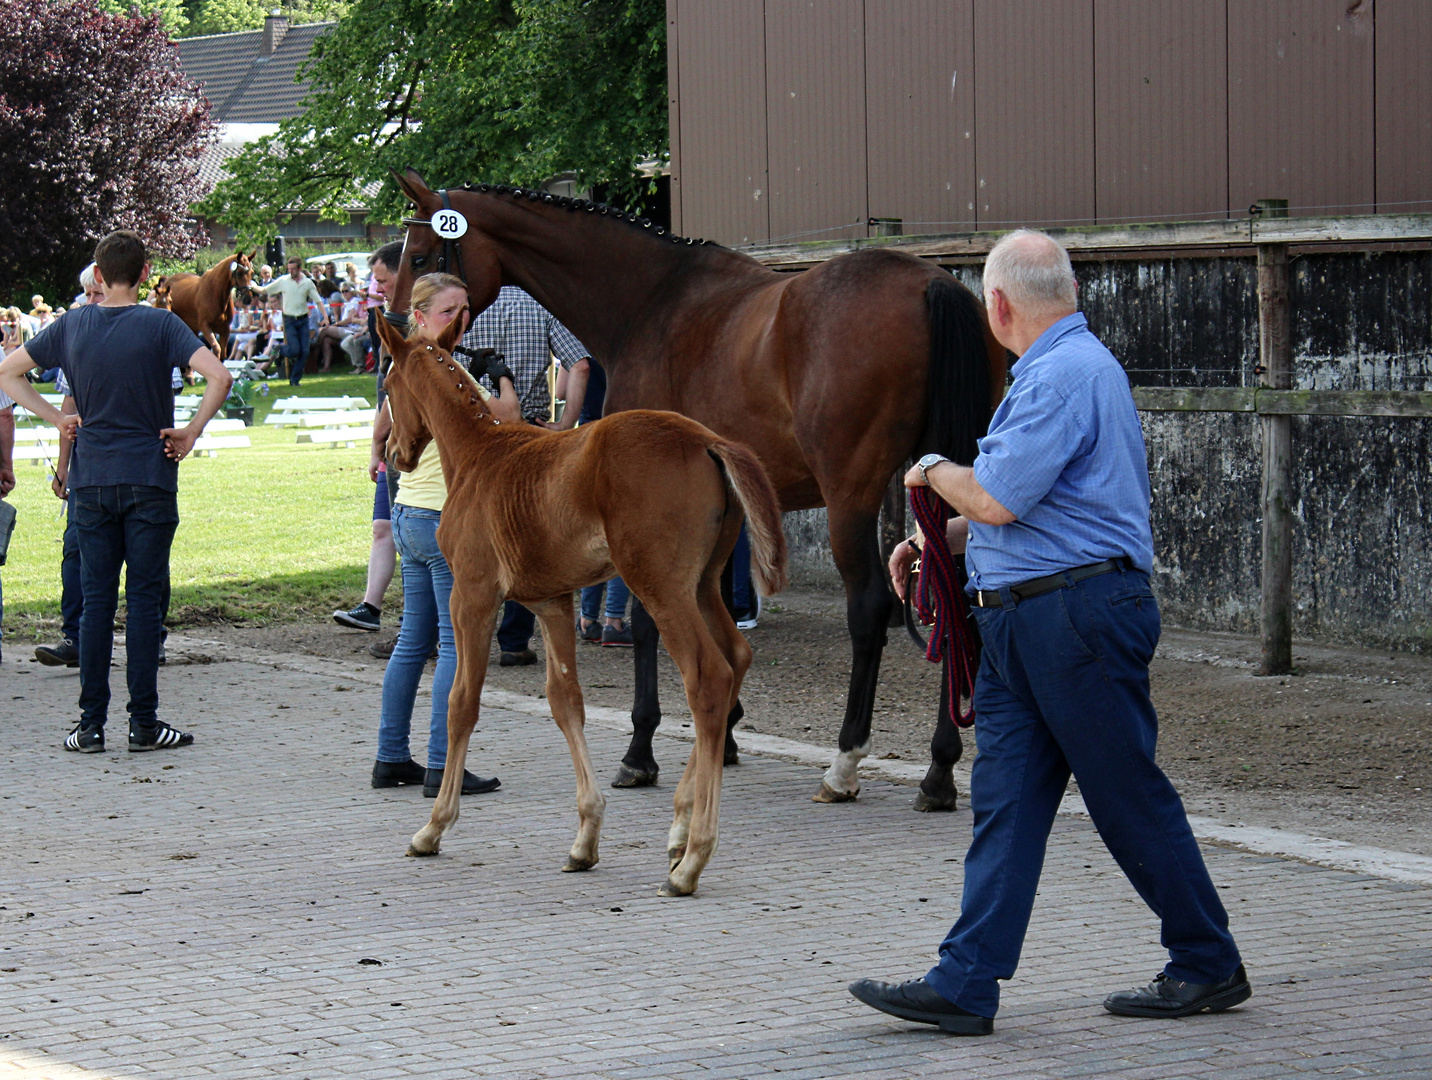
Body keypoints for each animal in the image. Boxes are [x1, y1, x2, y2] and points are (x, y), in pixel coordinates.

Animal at [369, 305, 790, 893]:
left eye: (387, 385)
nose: (392, 455)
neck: (480, 457)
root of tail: (708, 440)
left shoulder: (472, 595)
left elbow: (461, 702)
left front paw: (433, 827)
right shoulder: (552, 601)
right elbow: (566, 701)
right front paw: (585, 838)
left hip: (660, 586)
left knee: (709, 678)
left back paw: (692, 858)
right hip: (704, 583)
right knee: (737, 658)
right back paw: (679, 829)